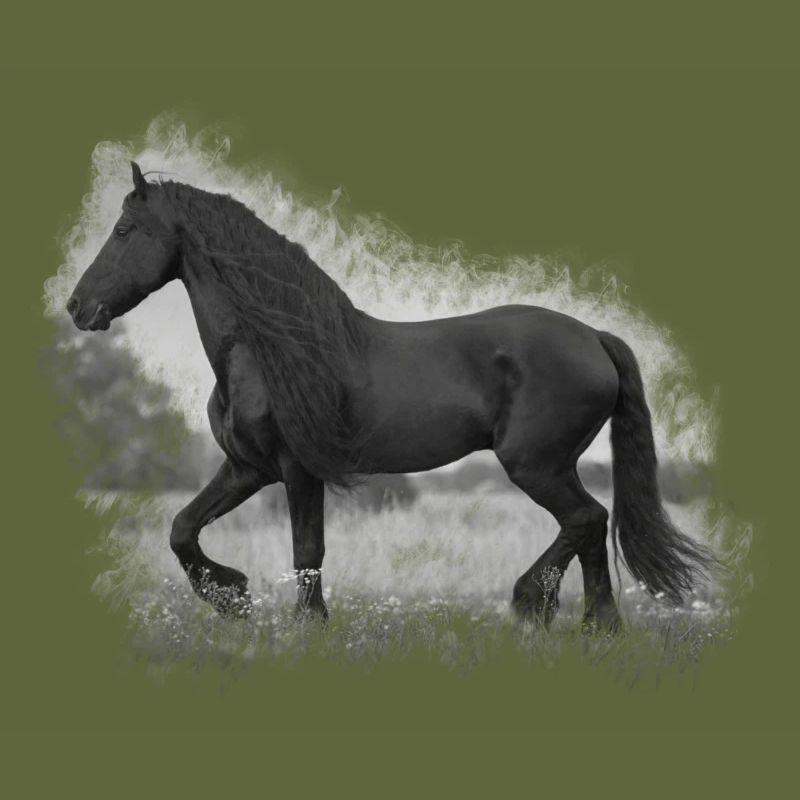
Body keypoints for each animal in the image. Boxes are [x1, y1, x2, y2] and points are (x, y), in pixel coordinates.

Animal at [66, 162, 715, 630]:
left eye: (122, 231)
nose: (77, 307)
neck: (270, 348)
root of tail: (593, 337)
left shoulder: (297, 469)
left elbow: (307, 551)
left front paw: (308, 627)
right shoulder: (247, 468)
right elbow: (183, 529)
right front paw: (233, 598)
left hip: (534, 464)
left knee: (586, 519)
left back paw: (533, 602)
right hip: (556, 465)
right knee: (591, 527)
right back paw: (598, 629)